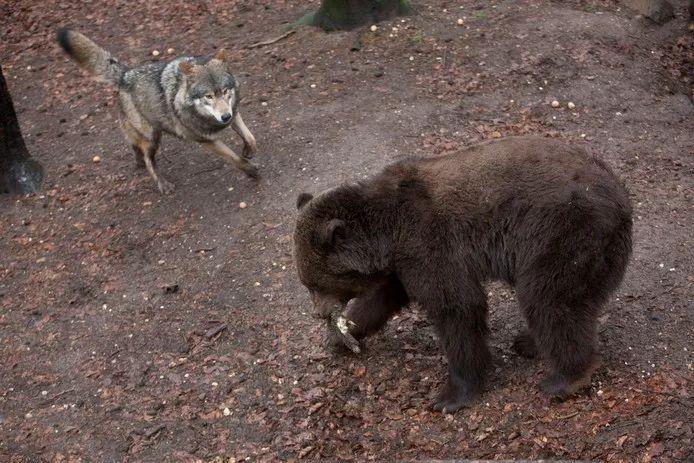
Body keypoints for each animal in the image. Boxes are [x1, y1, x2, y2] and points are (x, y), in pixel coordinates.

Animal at [294, 137, 636, 414]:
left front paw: (450, 396)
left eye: (316, 283)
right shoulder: (404, 263)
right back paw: (529, 342)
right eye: (307, 283)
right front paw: (341, 336)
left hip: (564, 232)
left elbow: (457, 306)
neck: (387, 234)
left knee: (549, 298)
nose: (319, 312)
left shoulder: (430, 242)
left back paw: (565, 377)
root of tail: (622, 196)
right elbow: (382, 299)